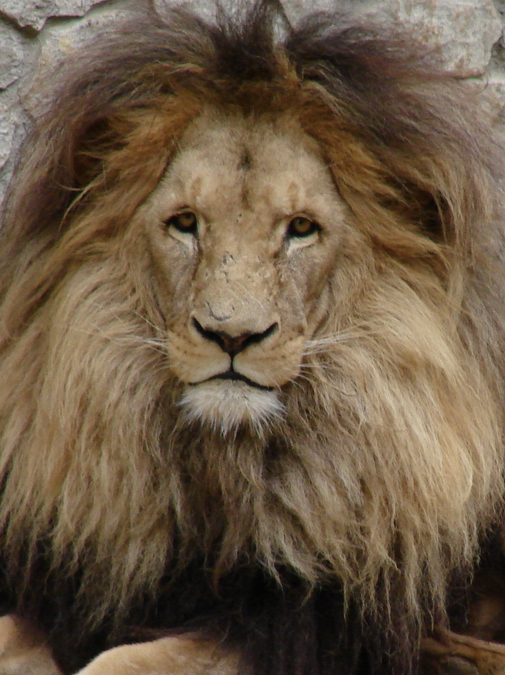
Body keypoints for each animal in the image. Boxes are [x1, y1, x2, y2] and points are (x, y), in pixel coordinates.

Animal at [0, 2, 505, 674]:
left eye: (301, 229)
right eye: (185, 223)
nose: (232, 336)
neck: (227, 472)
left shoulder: (301, 627)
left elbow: (125, 661)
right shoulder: (74, 585)